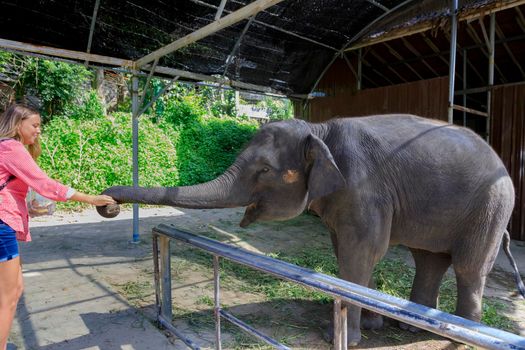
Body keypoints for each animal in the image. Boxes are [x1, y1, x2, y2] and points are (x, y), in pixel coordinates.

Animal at [97, 114, 524, 344]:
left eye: (264, 170)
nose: (107, 203)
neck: (320, 131)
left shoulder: (363, 188)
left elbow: (360, 253)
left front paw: (344, 338)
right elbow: (350, 253)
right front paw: (370, 325)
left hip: (491, 206)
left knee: (469, 267)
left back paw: (456, 334)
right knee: (430, 260)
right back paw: (410, 324)